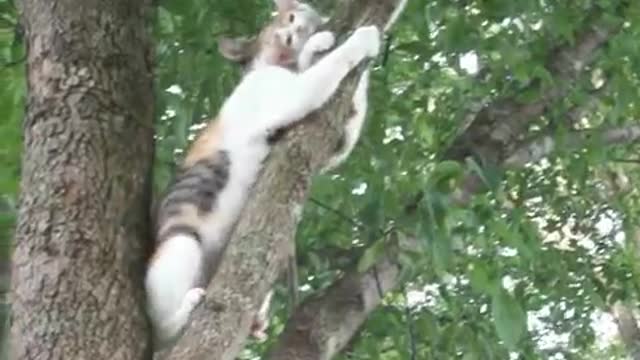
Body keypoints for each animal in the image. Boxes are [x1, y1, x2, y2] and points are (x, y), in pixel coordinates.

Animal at [144, 0, 380, 348]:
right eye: (281, 28)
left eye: (292, 16)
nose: (289, 37)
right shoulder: (286, 92)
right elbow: (334, 63)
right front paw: (363, 37)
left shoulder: (336, 142)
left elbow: (349, 113)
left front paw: (319, 44)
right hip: (182, 242)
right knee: (162, 324)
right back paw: (187, 310)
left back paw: (255, 319)